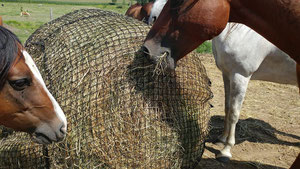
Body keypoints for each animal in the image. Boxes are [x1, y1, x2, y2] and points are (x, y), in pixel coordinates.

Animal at [142, 0, 300, 162]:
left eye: (177, 3)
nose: (147, 49)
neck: (239, 33)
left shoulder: (240, 76)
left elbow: (234, 113)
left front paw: (226, 150)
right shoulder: (227, 74)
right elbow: (227, 108)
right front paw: (222, 139)